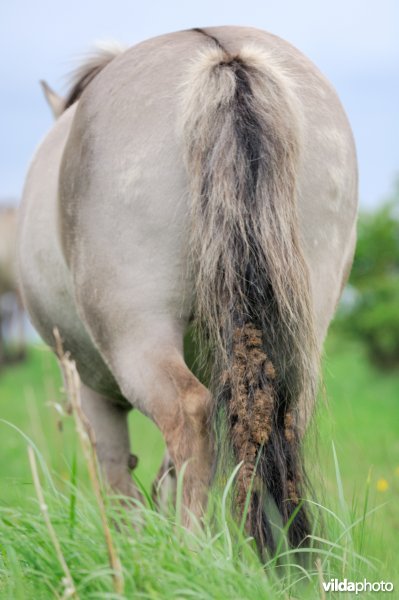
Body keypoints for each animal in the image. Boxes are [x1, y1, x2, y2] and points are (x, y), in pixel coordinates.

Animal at [18, 25, 360, 556]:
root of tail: (225, 55)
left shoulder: (89, 385)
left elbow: (118, 483)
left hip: (135, 335)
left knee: (189, 419)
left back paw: (190, 552)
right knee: (283, 423)